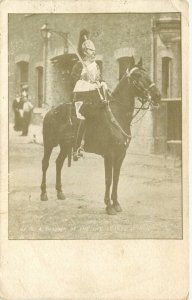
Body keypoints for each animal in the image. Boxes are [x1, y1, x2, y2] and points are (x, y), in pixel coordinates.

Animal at [40, 57, 160, 214]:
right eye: (137, 75)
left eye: (146, 73)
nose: (158, 96)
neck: (117, 115)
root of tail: (50, 111)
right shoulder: (109, 155)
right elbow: (108, 179)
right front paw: (109, 206)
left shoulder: (120, 155)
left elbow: (116, 178)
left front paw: (116, 203)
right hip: (49, 144)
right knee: (45, 164)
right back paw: (43, 194)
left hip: (65, 145)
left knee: (58, 163)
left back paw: (60, 192)